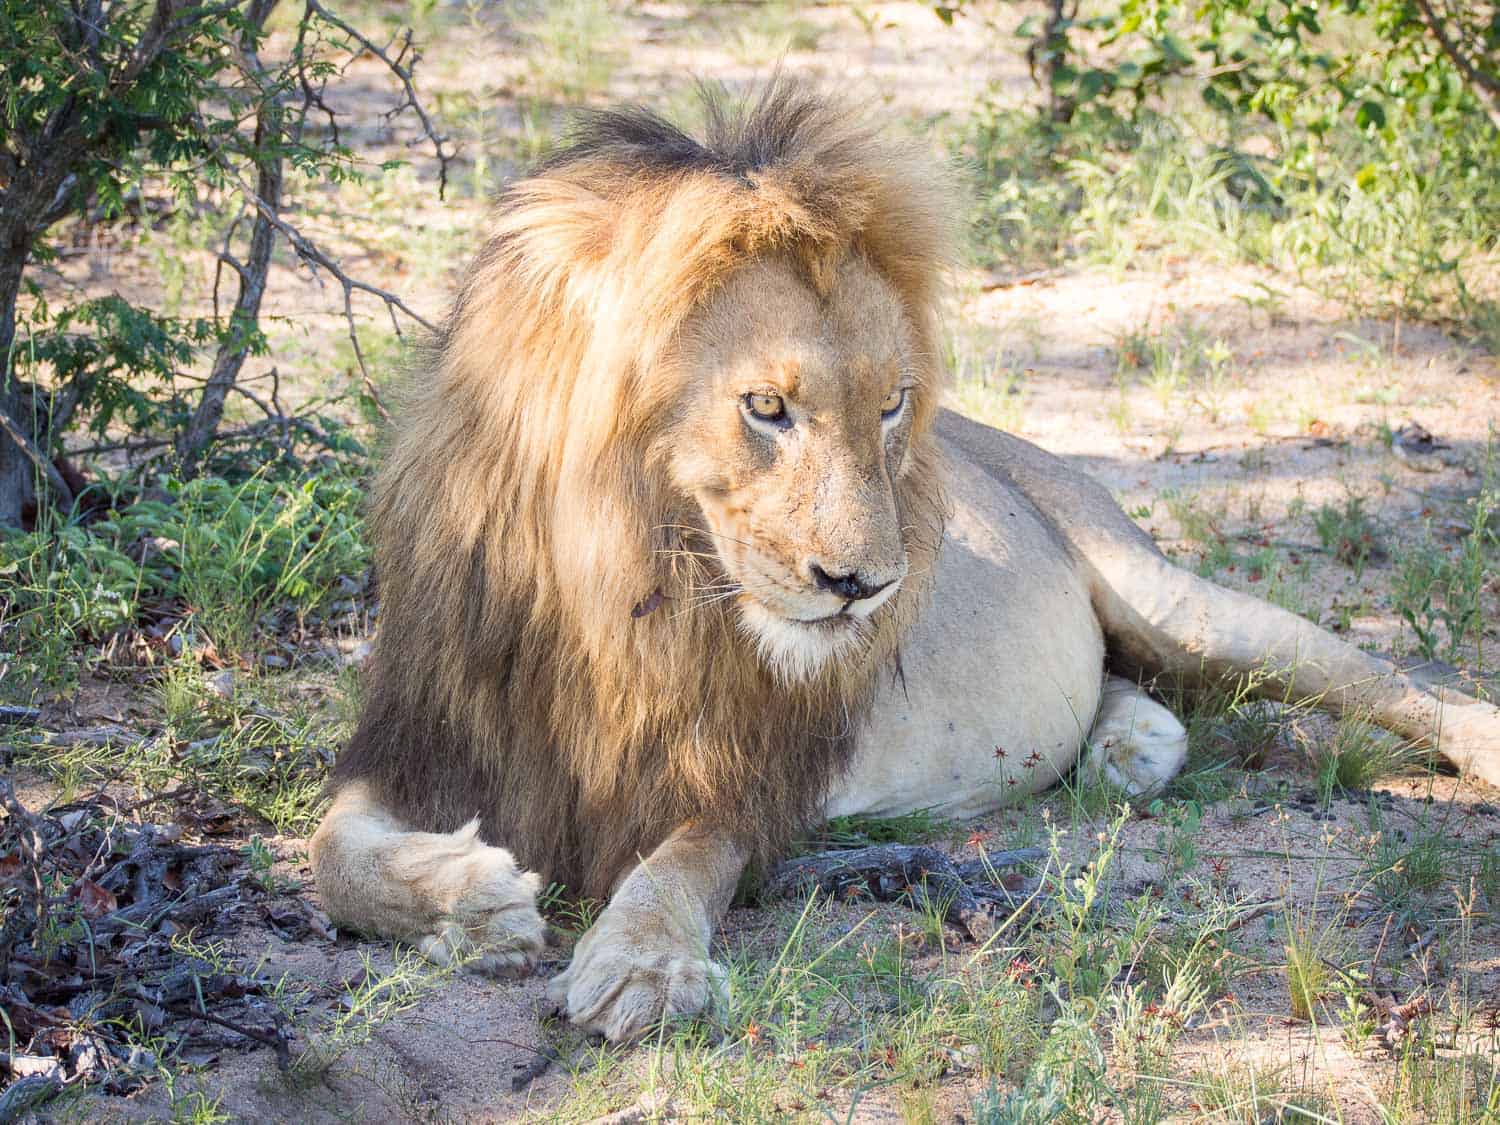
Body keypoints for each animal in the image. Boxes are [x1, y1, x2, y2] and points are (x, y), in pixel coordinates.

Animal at [307, 83, 1500, 1044]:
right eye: (766, 407)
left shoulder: (745, 781)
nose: (867, 589)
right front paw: (470, 899)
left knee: (1386, 680)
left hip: (1172, 595)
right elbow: (331, 853)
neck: (616, 598)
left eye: (892, 404)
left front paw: (643, 963)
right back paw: (1125, 750)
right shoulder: (422, 733)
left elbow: (675, 864)